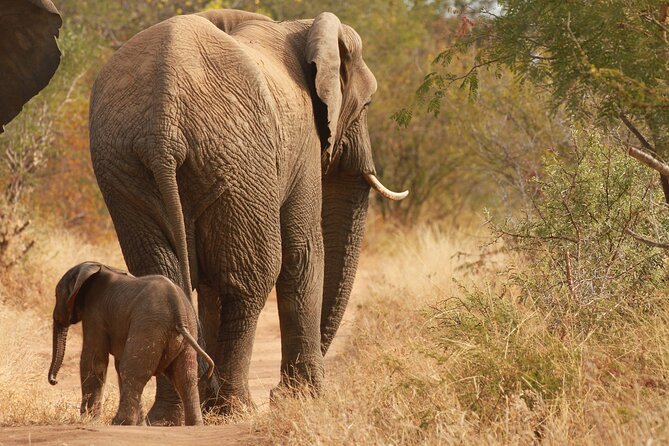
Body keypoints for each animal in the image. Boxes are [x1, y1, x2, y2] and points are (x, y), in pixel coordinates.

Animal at [47, 262, 213, 426]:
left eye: (56, 294)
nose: (54, 381)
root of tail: (178, 310)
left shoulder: (94, 313)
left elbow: (94, 361)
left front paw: (89, 421)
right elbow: (115, 363)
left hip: (149, 325)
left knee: (132, 371)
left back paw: (119, 422)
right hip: (188, 329)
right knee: (186, 376)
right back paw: (195, 424)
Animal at [88, 8, 408, 424]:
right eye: (367, 106)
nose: (276, 393)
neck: (300, 27)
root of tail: (162, 127)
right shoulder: (303, 141)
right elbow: (303, 252)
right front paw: (304, 399)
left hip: (127, 165)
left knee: (167, 276)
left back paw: (170, 417)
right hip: (239, 159)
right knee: (251, 278)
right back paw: (234, 409)